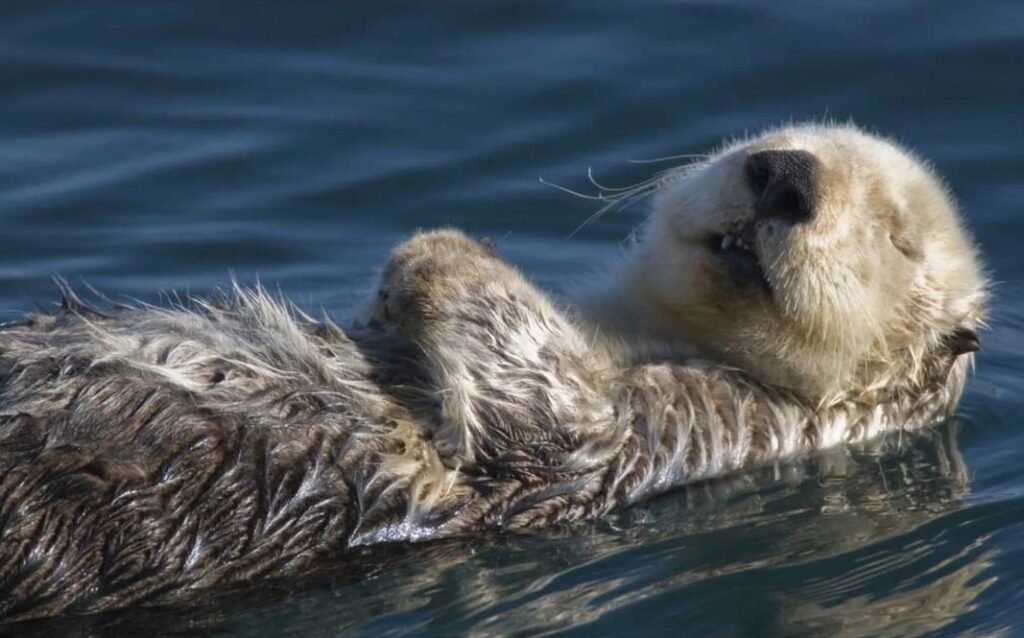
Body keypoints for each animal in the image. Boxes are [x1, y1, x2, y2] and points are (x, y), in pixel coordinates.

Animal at [0, 124, 987, 622]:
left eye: (896, 236)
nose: (783, 175)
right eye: (780, 138)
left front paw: (435, 253)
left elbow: (549, 411)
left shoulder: (694, 425)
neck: (638, 330)